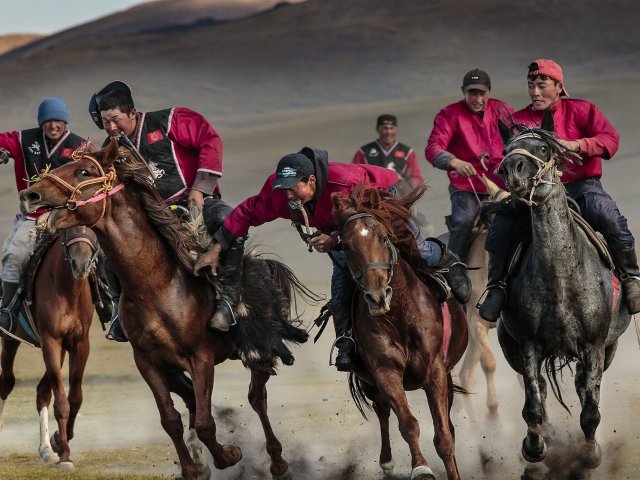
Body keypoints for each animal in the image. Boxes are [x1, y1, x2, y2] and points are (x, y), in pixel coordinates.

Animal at [0, 226, 99, 468]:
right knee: (6, 382)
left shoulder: (79, 344)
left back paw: (45, 449)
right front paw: (65, 456)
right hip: (11, 340)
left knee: (42, 392)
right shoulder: (51, 341)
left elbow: (74, 398)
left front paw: (58, 444)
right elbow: (62, 402)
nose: (81, 264)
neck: (67, 288)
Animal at [18, 139, 318, 480]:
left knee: (257, 397)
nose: (31, 195)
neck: (157, 285)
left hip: (258, 348)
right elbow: (171, 418)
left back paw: (278, 460)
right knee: (194, 400)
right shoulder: (148, 362)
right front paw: (193, 468)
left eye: (84, 171)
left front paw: (228, 455)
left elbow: (205, 422)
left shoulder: (201, 358)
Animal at [332, 184, 468, 480]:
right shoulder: (385, 372)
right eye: (346, 246)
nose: (377, 297)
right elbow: (408, 423)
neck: (398, 315)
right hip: (371, 383)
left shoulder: (436, 371)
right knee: (382, 411)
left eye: (383, 238)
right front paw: (421, 468)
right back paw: (387, 464)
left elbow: (444, 436)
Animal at [496, 119, 632, 468]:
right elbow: (532, 406)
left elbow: (590, 412)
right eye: (505, 150)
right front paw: (534, 447)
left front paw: (590, 454)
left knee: (583, 387)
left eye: (544, 148)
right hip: (511, 347)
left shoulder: (593, 347)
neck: (560, 278)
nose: (513, 170)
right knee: (542, 389)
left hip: (607, 350)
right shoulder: (529, 345)